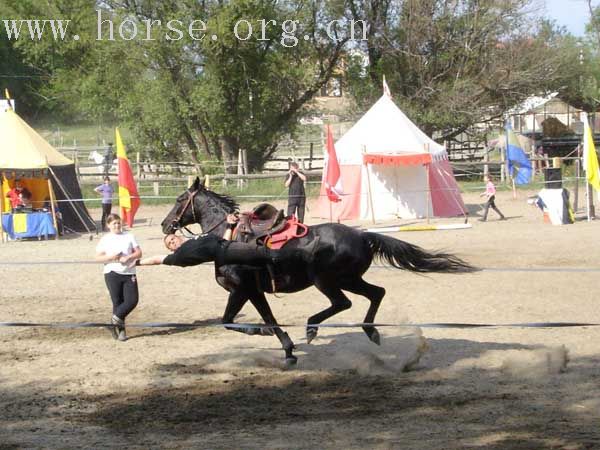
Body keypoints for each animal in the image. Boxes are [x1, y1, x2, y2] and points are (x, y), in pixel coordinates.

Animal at [162, 178, 476, 364]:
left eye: (179, 200)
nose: (166, 225)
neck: (227, 238)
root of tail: (363, 235)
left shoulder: (243, 289)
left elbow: (232, 320)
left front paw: (266, 336)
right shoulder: (252, 291)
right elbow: (265, 318)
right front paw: (288, 350)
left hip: (326, 280)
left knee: (343, 302)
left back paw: (313, 326)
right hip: (349, 279)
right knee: (376, 293)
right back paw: (370, 331)